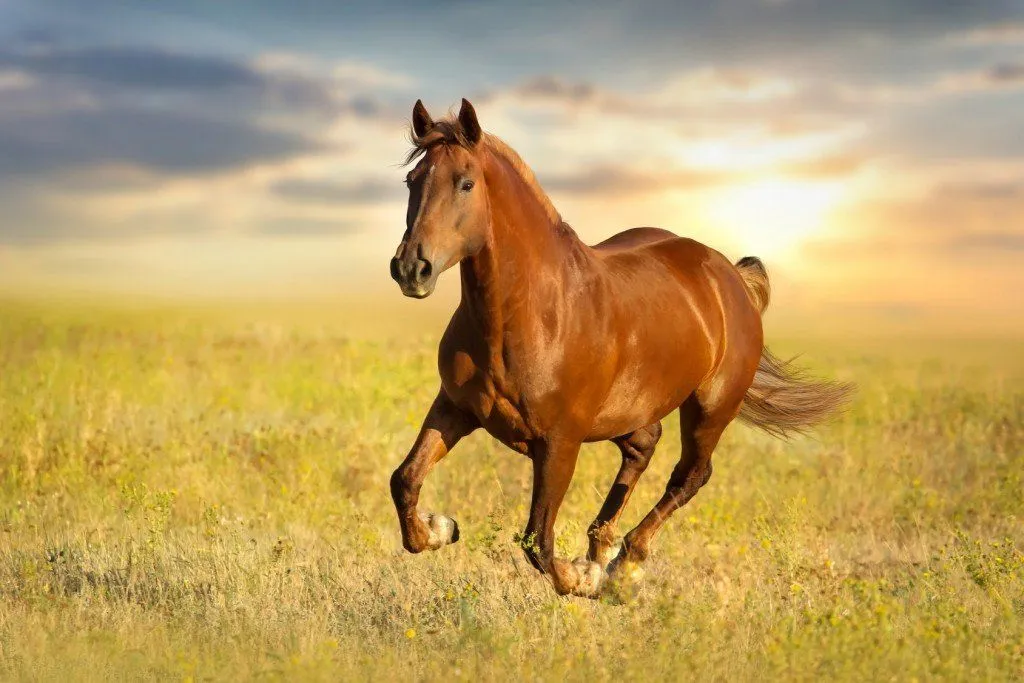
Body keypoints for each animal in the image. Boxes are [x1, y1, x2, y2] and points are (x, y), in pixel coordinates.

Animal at [388, 98, 853, 597]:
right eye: (412, 181)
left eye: (466, 183)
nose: (411, 268)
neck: (529, 317)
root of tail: (730, 275)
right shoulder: (456, 408)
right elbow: (405, 479)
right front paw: (440, 528)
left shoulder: (560, 442)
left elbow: (538, 540)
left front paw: (583, 577)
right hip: (629, 412)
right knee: (643, 448)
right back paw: (603, 545)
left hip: (710, 409)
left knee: (690, 475)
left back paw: (624, 563)